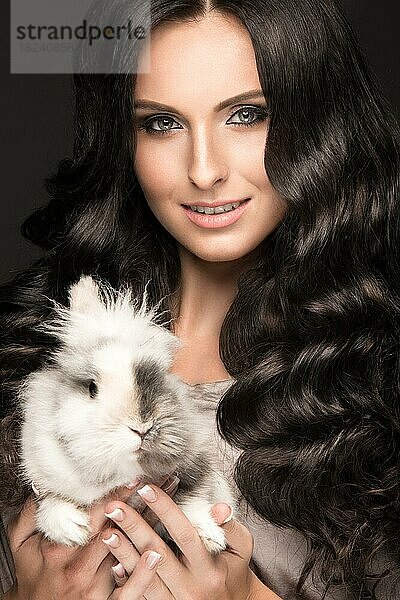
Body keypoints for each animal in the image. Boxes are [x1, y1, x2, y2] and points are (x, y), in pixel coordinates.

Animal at [17, 274, 236, 556]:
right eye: (92, 388)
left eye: (159, 378)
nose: (142, 428)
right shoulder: (42, 471)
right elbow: (51, 499)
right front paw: (71, 530)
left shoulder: (196, 467)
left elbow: (192, 500)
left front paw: (209, 538)